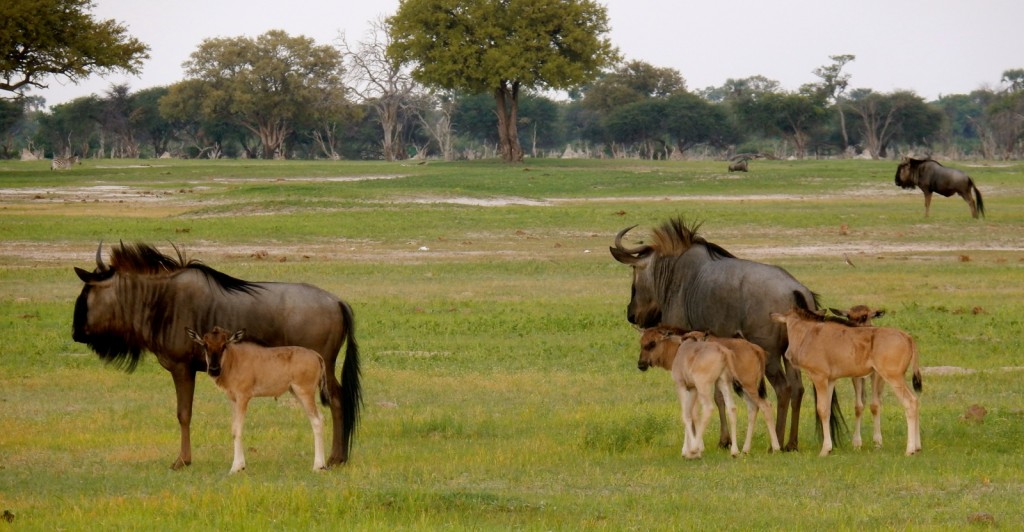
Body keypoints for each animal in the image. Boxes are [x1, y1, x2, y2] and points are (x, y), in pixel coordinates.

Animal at [186, 325, 325, 472]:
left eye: (224, 345)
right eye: (205, 345)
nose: (214, 369)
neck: (234, 360)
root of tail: (315, 355)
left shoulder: (243, 397)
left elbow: (238, 429)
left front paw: (236, 467)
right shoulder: (233, 400)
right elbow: (233, 429)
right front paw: (240, 465)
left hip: (305, 392)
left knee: (316, 421)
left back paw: (317, 466)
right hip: (296, 393)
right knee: (320, 418)